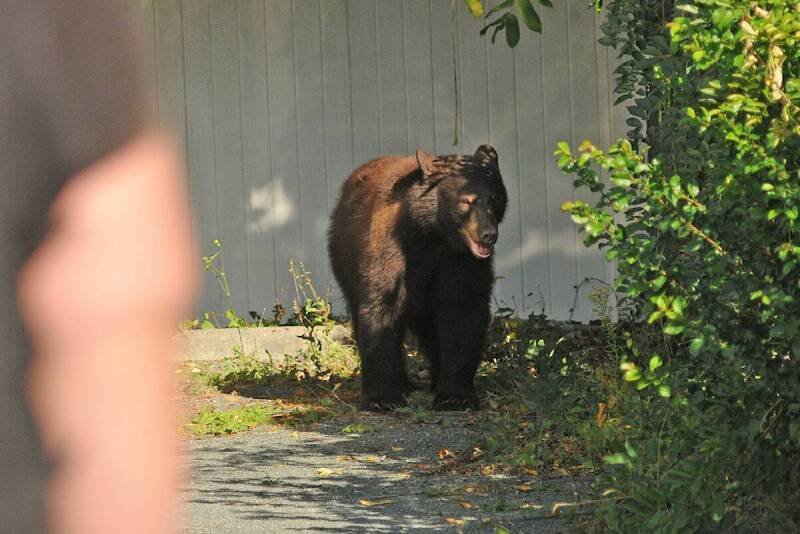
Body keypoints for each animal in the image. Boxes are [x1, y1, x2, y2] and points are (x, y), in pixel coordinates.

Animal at [328, 145, 508, 411]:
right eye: (465, 201)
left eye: (494, 199)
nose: (488, 235)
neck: (433, 237)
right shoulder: (390, 251)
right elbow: (381, 307)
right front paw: (383, 397)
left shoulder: (462, 262)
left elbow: (463, 310)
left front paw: (455, 395)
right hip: (344, 259)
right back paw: (403, 382)